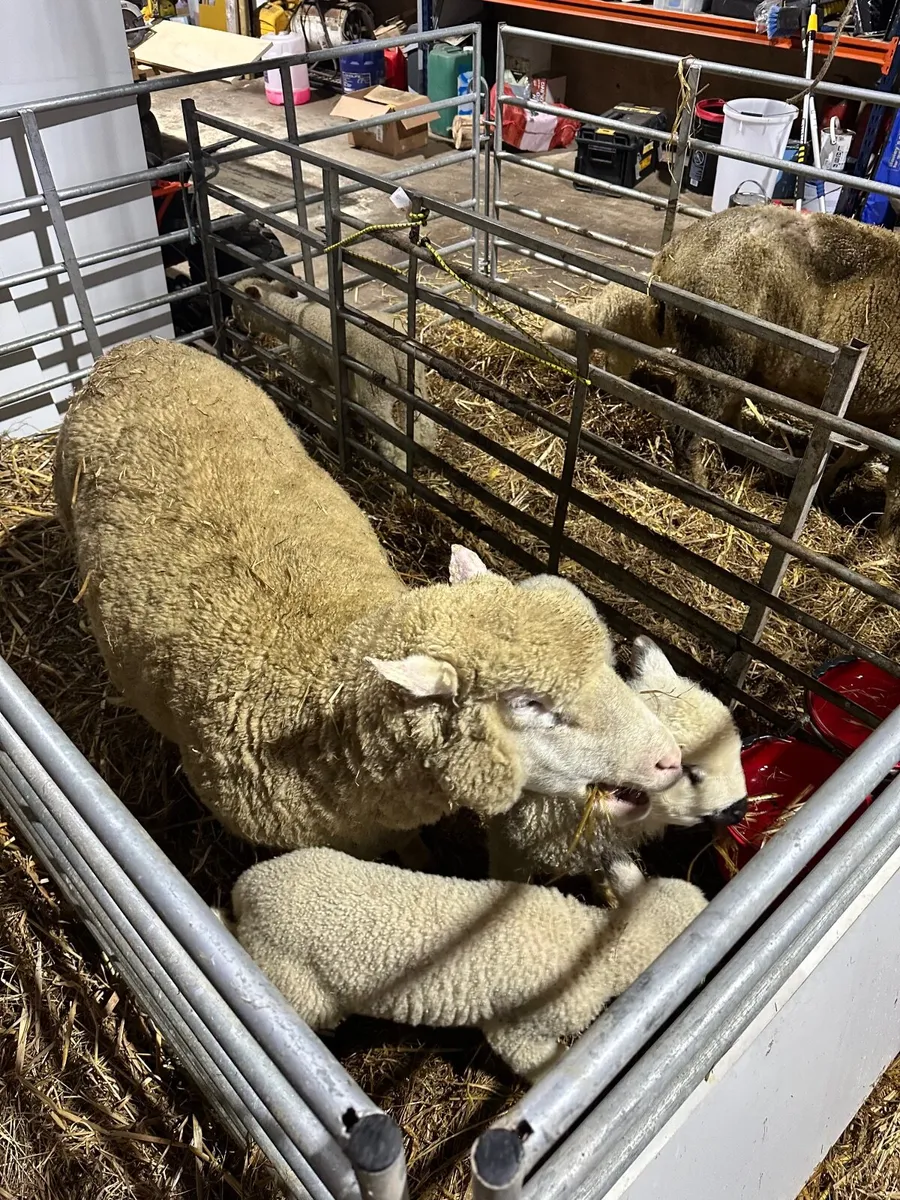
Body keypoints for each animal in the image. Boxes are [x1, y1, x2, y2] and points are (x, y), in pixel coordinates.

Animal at [230, 275, 440, 471]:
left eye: (239, 307)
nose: (236, 326)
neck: (291, 317)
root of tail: (397, 349)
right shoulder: (345, 376)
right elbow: (350, 398)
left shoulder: (311, 372)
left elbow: (321, 409)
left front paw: (329, 441)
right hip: (415, 383)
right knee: (422, 424)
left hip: (375, 388)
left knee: (391, 441)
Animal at [541, 206, 900, 541]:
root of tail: (676, 249)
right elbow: (894, 497)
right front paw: (883, 545)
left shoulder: (879, 424)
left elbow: (855, 459)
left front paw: (828, 491)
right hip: (717, 350)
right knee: (685, 424)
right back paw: (699, 485)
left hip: (714, 346)